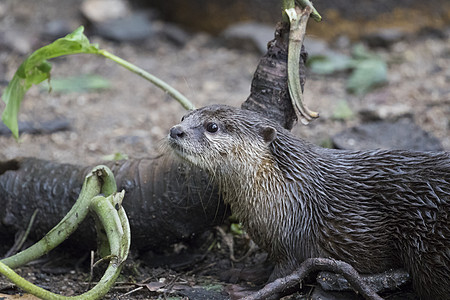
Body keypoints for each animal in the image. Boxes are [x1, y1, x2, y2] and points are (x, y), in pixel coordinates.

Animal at [169, 104, 450, 298]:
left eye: (212, 126)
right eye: (183, 117)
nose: (175, 130)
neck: (292, 194)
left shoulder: (294, 238)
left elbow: (283, 277)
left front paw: (248, 292)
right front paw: (241, 272)